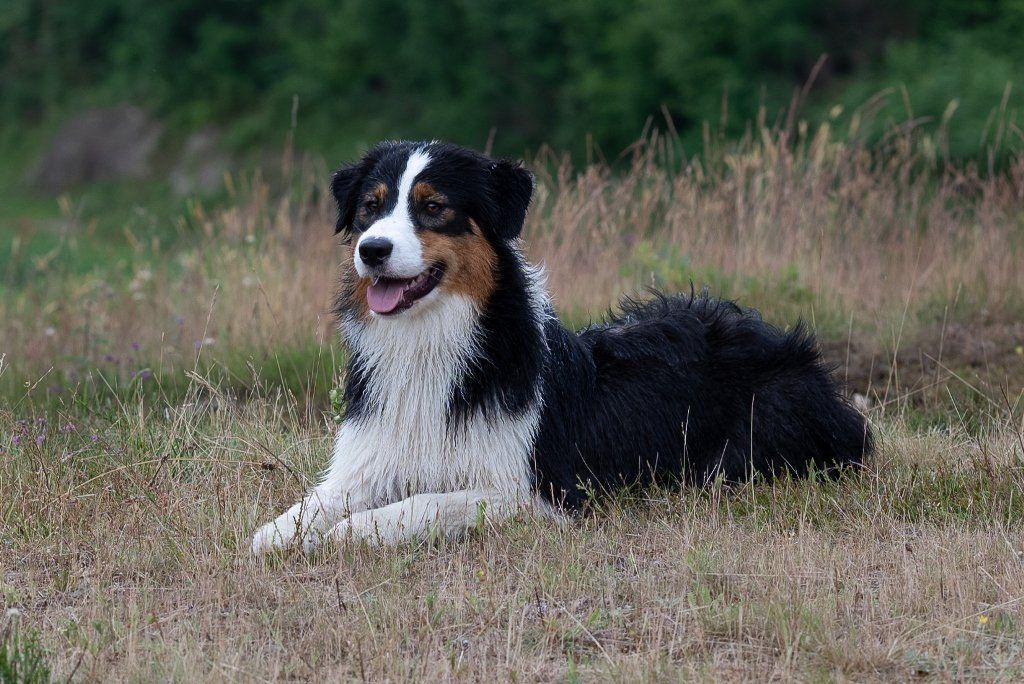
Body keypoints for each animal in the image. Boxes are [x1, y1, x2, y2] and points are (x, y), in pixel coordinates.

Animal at [249, 141, 872, 552]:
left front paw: (350, 532)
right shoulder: (368, 461)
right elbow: (313, 503)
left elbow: (424, 504)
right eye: (369, 207)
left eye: (434, 207)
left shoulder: (533, 490)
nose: (373, 250)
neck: (431, 341)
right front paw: (278, 534)